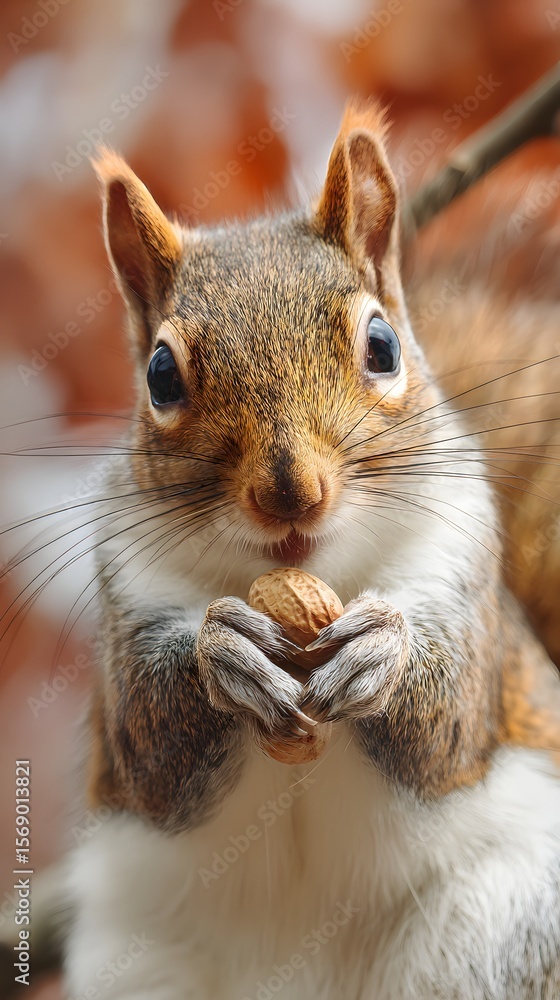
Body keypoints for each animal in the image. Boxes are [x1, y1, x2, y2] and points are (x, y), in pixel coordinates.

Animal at [63, 101, 560, 1000]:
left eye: (383, 347)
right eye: (159, 375)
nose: (291, 494)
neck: (304, 579)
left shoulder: (464, 570)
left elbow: (449, 723)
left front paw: (383, 650)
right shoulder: (125, 590)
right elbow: (150, 748)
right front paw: (221, 650)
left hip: (501, 929)